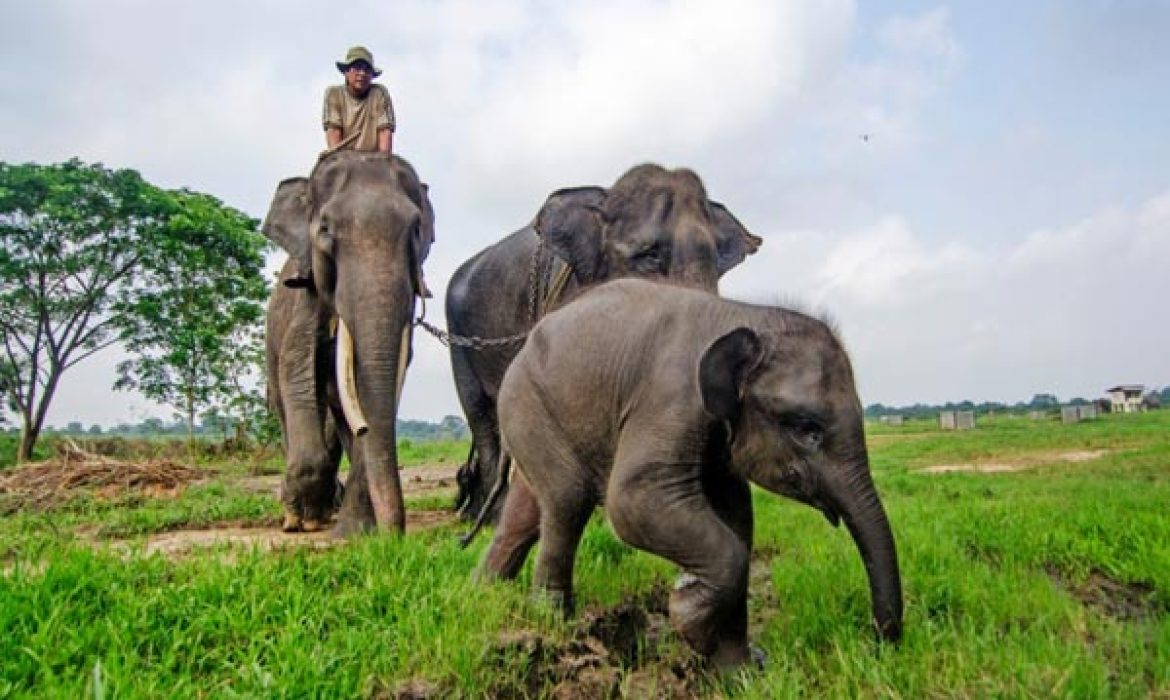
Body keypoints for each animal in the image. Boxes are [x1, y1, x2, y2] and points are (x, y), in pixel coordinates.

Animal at [260, 152, 435, 538]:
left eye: (417, 229)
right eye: (325, 229)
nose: (395, 537)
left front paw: (353, 534)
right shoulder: (306, 296)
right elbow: (297, 365)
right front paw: (305, 516)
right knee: (282, 402)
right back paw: (298, 515)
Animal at [475, 278, 903, 669]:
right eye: (806, 428)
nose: (877, 648)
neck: (745, 315)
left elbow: (738, 521)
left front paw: (739, 673)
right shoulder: (671, 397)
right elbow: (632, 500)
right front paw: (688, 617)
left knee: (528, 514)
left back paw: (483, 595)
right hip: (528, 403)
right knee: (568, 501)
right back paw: (554, 624)